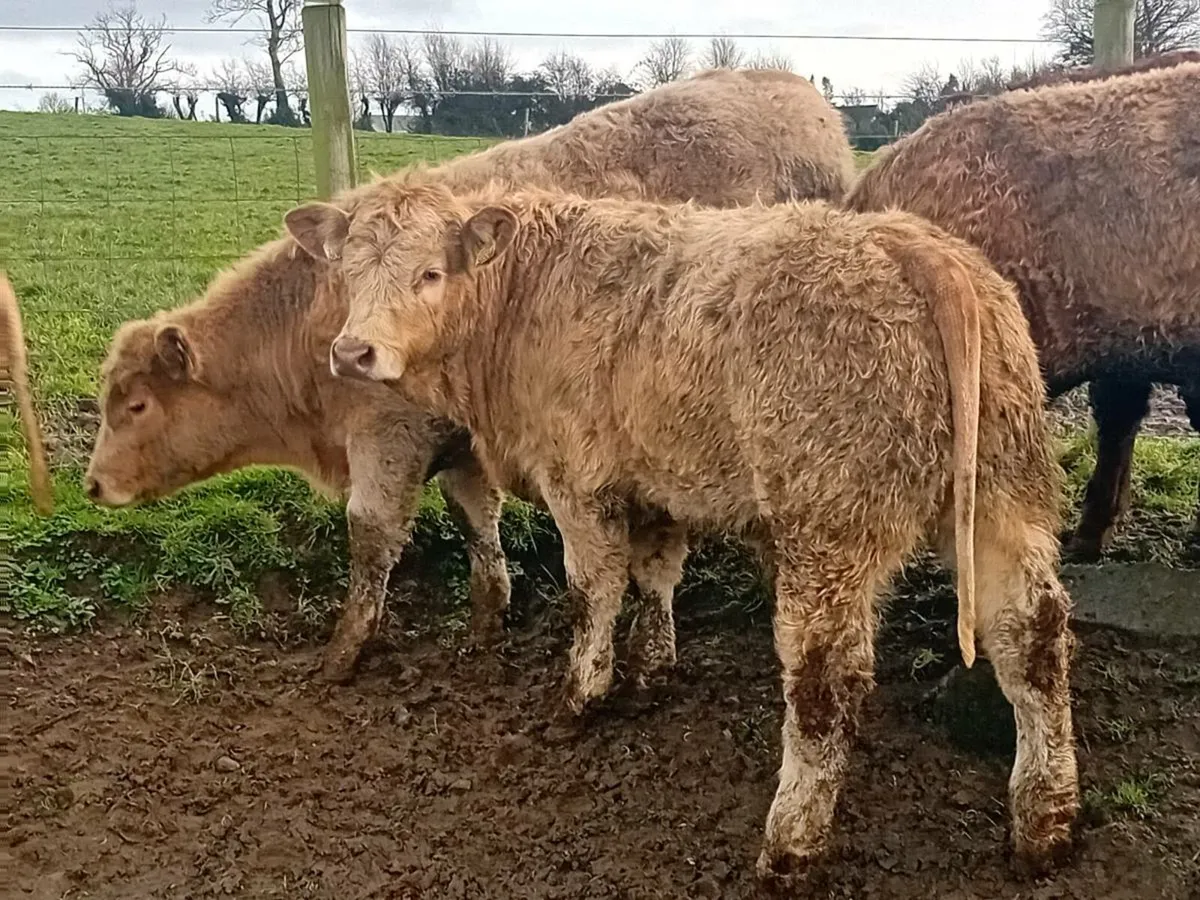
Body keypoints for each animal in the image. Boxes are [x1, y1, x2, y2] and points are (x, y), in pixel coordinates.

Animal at [84, 66, 857, 685]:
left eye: (138, 405)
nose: (92, 485)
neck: (308, 329)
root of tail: (793, 94)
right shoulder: (460, 444)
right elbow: (475, 520)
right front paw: (488, 616)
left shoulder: (389, 441)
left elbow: (369, 538)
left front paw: (344, 650)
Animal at [284, 176, 1079, 880]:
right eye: (348, 273)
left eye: (429, 272)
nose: (352, 352)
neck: (518, 301)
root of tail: (909, 243)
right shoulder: (655, 486)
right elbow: (656, 572)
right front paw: (652, 669)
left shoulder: (577, 480)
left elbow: (593, 589)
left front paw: (582, 694)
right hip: (1003, 497)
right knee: (1033, 635)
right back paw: (1046, 820)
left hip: (828, 527)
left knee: (824, 680)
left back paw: (790, 847)